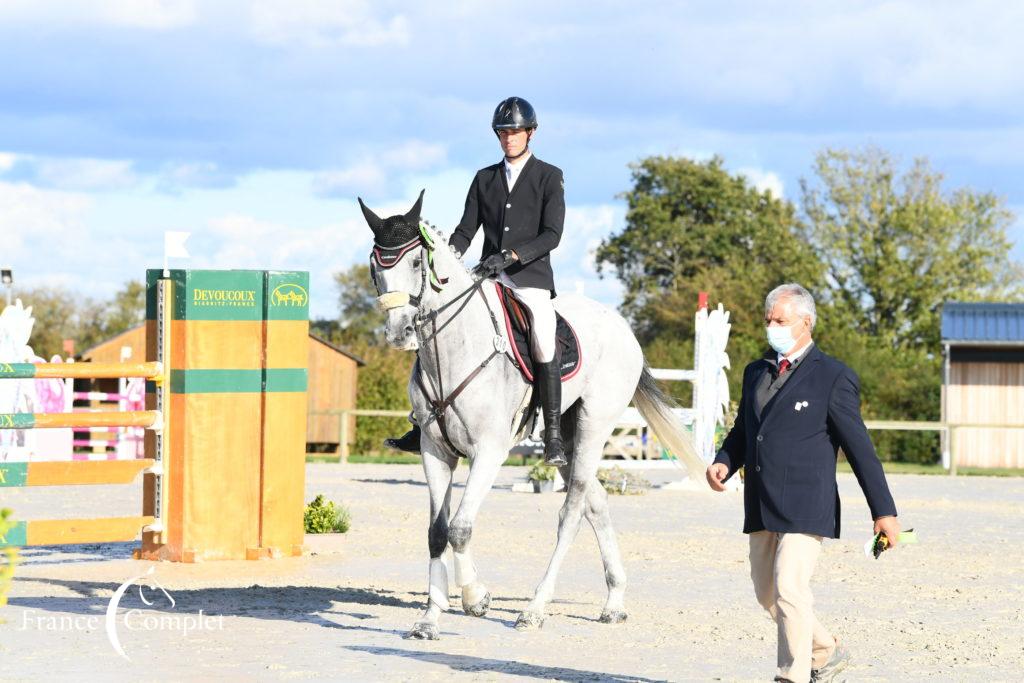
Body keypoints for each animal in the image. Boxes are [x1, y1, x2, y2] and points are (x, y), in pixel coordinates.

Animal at [360, 193, 704, 643]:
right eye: (374, 265)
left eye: (418, 262)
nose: (400, 333)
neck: (452, 348)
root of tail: (622, 327)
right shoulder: (435, 452)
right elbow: (437, 532)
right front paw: (430, 619)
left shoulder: (489, 452)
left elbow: (460, 528)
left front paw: (475, 597)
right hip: (571, 440)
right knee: (596, 502)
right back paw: (614, 601)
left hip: (594, 427)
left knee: (571, 512)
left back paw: (535, 610)